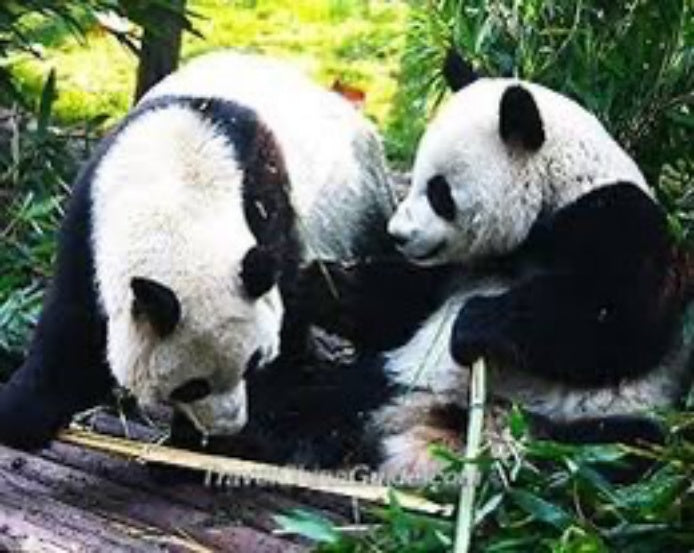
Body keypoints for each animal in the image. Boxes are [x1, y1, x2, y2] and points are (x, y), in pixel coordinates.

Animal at [0, 52, 396, 450]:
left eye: (253, 363)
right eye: (191, 387)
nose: (229, 425)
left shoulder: (269, 208)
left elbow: (286, 313)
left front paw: (243, 436)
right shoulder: (87, 220)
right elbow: (72, 332)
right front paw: (21, 413)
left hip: (361, 203)